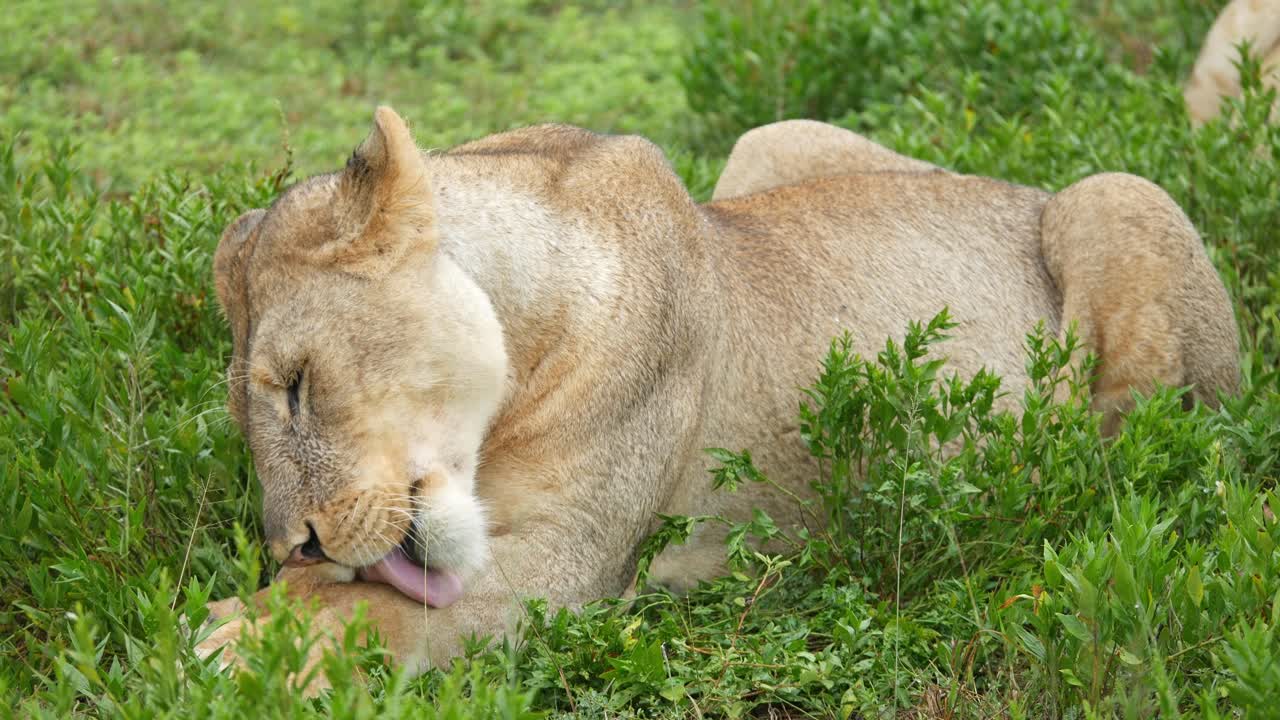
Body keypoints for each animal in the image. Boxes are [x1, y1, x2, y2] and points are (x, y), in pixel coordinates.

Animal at [197, 107, 1239, 689]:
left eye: (298, 387)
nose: (297, 541)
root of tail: (1027, 186)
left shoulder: (570, 572)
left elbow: (383, 615)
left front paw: (236, 644)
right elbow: (358, 597)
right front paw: (264, 605)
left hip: (1116, 197)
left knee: (1133, 465)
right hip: (771, 144)